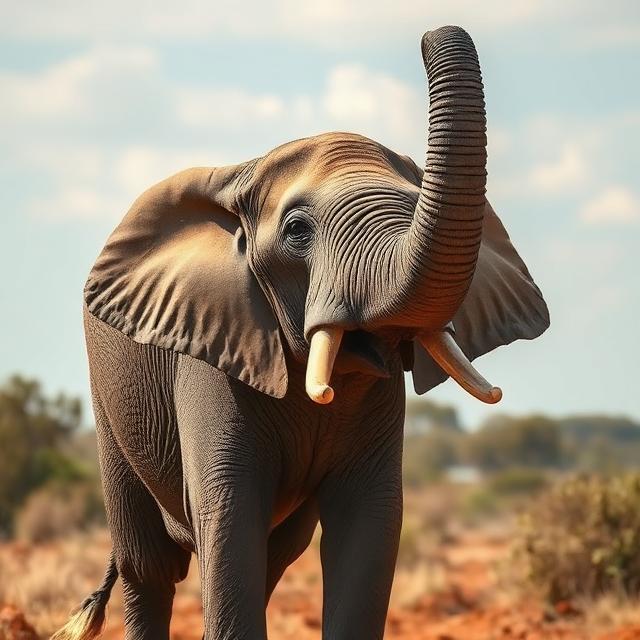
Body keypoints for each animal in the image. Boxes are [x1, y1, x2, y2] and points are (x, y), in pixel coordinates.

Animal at [52, 26, 548, 640]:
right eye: (296, 230)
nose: (435, 33)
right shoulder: (212, 355)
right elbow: (230, 511)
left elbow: (369, 516)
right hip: (109, 401)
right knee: (150, 566)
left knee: (275, 553)